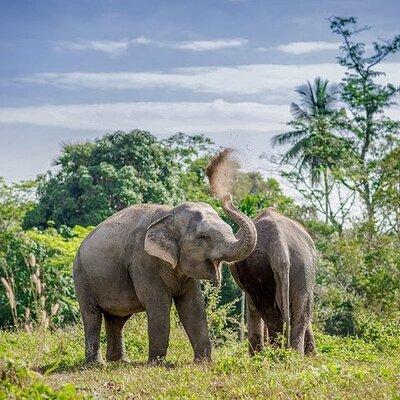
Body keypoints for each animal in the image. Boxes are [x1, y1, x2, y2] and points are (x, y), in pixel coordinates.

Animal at [73, 194, 258, 366]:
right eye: (203, 237)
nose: (227, 197)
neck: (170, 213)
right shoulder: (143, 260)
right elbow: (159, 304)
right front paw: (157, 364)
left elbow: (193, 306)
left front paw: (203, 363)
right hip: (82, 278)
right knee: (92, 316)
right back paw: (97, 364)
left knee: (117, 319)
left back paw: (120, 361)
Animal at [230, 208, 318, 354]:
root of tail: (279, 244)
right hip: (303, 267)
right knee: (299, 315)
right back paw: (292, 356)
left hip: (260, 268)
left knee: (270, 313)